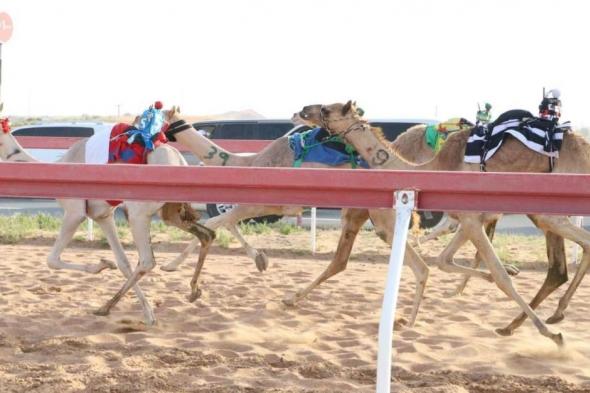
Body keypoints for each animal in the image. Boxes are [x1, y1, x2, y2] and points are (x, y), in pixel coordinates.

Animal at [0, 108, 215, 324]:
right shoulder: (102, 216)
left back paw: (115, 307)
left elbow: (51, 260)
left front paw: (101, 265)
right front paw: (144, 307)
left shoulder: (75, 212)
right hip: (171, 211)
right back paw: (192, 291)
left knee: (147, 260)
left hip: (138, 213)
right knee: (206, 234)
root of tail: (179, 161)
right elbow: (123, 263)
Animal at [316, 99, 588, 344]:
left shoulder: (471, 218)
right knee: (577, 251)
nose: (309, 115)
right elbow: (444, 260)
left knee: (577, 247)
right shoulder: (468, 219)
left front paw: (552, 336)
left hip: (549, 210)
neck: (433, 167)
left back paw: (536, 322)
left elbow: (500, 276)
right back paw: (553, 313)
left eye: (326, 110)